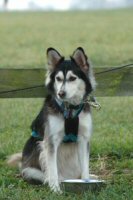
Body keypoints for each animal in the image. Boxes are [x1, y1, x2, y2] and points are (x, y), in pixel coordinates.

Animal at [7, 47, 96, 192]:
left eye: (72, 78)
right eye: (58, 79)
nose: (61, 93)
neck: (70, 110)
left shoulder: (83, 139)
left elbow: (85, 167)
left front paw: (86, 181)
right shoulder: (51, 141)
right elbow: (53, 170)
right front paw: (55, 189)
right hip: (31, 166)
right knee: (46, 175)